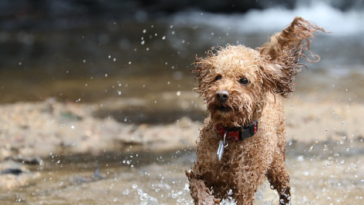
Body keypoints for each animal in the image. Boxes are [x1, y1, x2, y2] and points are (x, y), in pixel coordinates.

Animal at [186, 16, 326, 204]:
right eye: (217, 77)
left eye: (244, 80)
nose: (222, 94)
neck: (231, 134)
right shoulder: (201, 171)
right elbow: (197, 185)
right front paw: (205, 199)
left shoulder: (244, 188)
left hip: (277, 165)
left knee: (285, 189)